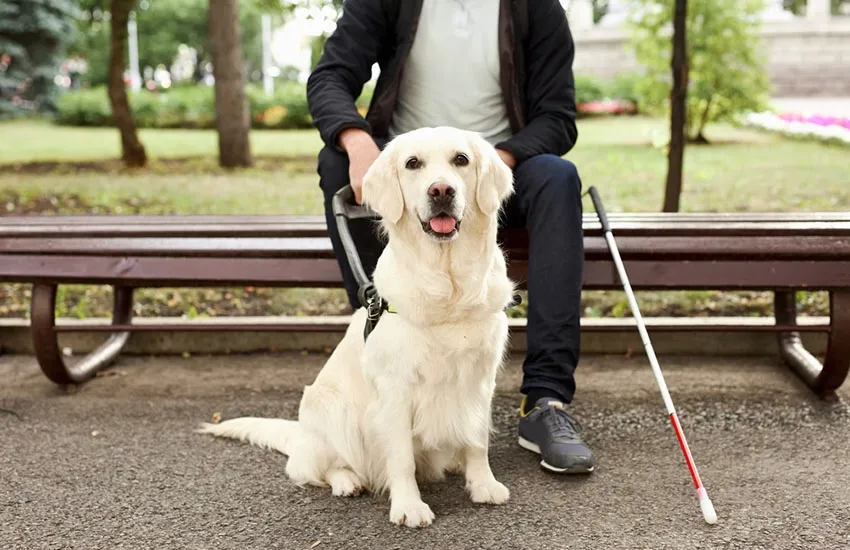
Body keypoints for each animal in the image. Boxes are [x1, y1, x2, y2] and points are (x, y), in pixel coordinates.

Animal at [198, 126, 512, 532]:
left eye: (461, 159)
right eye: (413, 163)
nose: (441, 191)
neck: (447, 287)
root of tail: (300, 435)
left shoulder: (480, 379)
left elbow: (477, 439)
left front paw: (483, 484)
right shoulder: (395, 391)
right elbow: (401, 459)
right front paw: (409, 506)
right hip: (332, 409)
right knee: (318, 467)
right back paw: (347, 481)